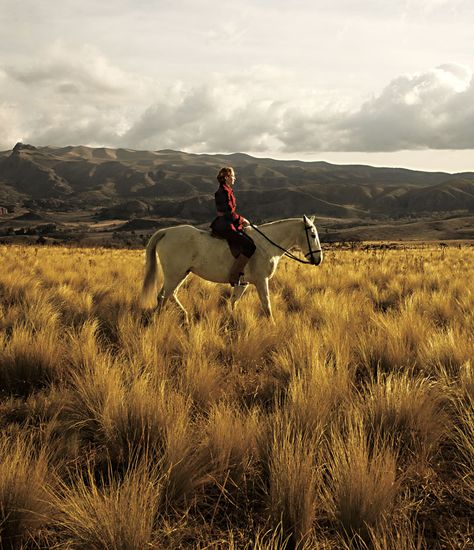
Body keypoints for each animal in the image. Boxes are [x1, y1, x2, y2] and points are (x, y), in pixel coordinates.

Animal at [141, 213, 322, 322]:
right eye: (313, 235)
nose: (318, 259)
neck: (266, 245)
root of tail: (166, 232)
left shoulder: (243, 283)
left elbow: (234, 301)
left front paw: (231, 319)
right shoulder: (261, 280)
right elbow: (266, 305)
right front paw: (272, 325)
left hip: (181, 274)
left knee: (169, 294)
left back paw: (184, 317)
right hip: (174, 274)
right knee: (164, 296)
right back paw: (160, 320)